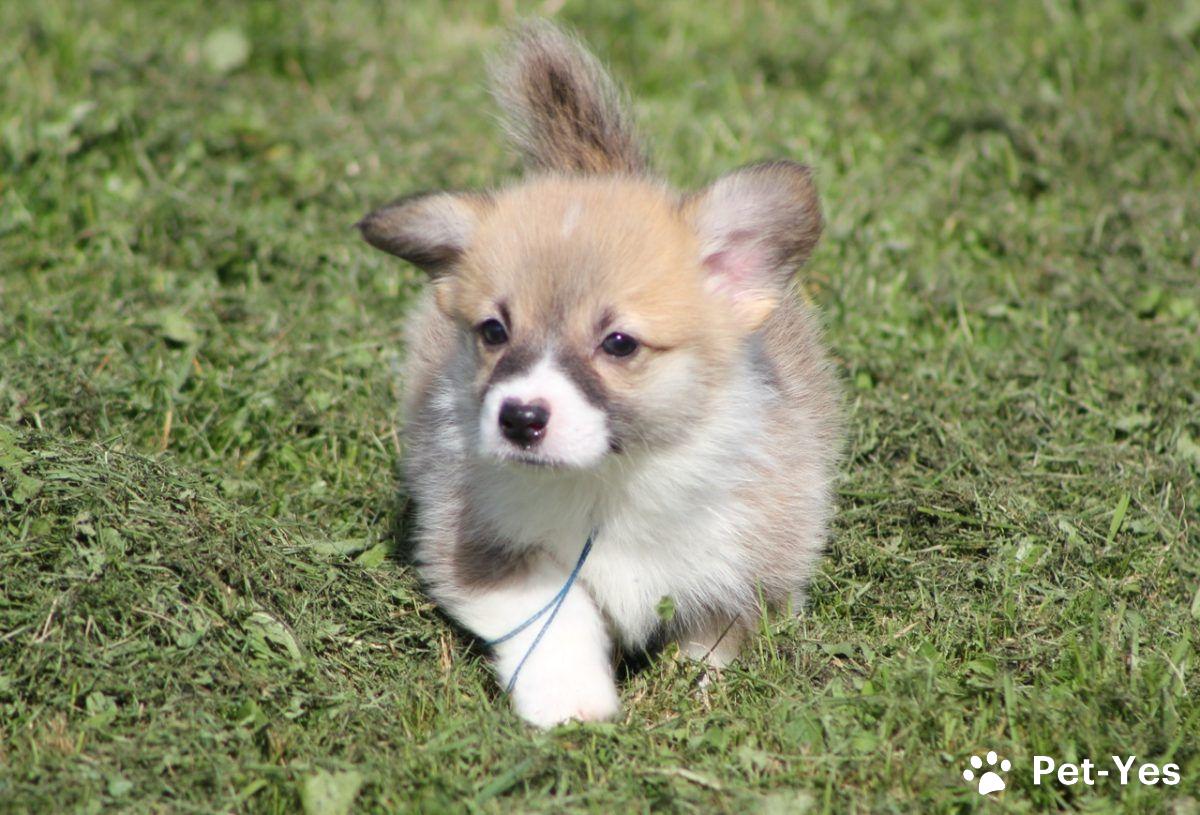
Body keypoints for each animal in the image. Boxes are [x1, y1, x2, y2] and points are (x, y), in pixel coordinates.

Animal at [358, 21, 842, 727]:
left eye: (618, 343)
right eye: (493, 332)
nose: (519, 418)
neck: (609, 481)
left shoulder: (747, 562)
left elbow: (711, 637)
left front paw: (692, 694)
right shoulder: (479, 545)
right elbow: (554, 616)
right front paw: (572, 705)